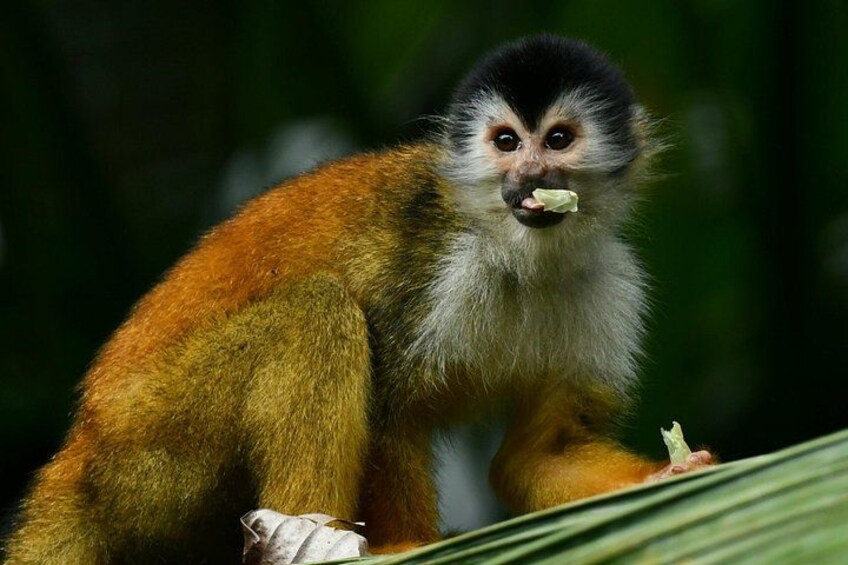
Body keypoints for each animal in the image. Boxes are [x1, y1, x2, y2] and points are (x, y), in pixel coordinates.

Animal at [3, 35, 713, 564]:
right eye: (507, 142)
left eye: (558, 140)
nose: (531, 177)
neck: (515, 249)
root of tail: (82, 448)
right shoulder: (430, 265)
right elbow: (392, 413)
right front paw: (413, 545)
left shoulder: (607, 283)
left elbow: (540, 454)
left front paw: (668, 476)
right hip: (150, 439)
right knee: (315, 310)